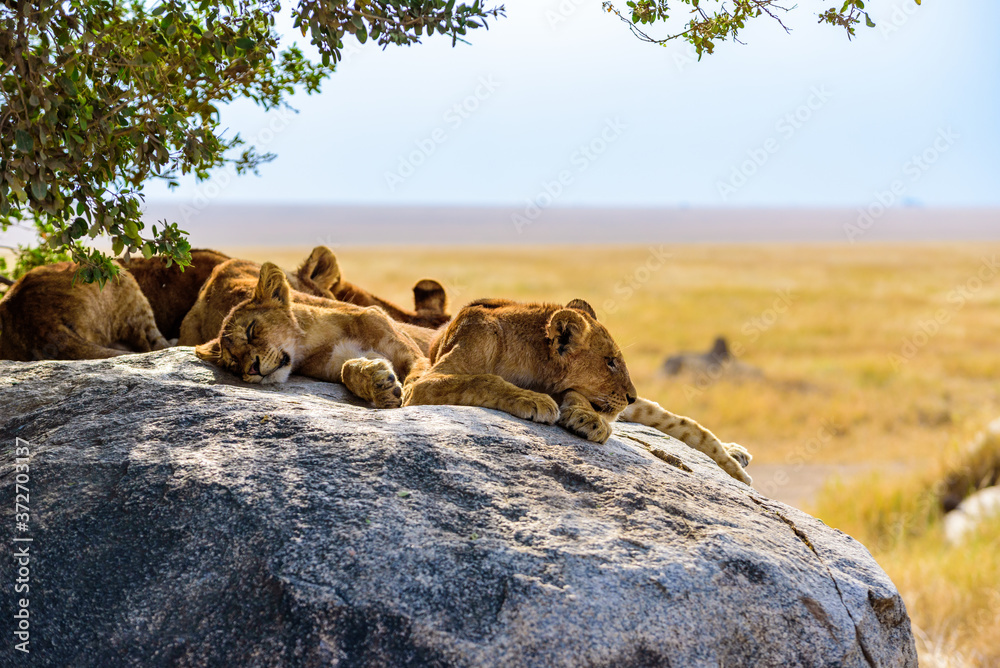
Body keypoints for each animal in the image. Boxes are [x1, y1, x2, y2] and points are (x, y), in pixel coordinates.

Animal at [196, 264, 430, 410]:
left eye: (250, 330)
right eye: (233, 362)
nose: (252, 369)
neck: (322, 341)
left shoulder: (413, 354)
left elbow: (418, 372)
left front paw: (409, 393)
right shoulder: (332, 368)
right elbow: (347, 370)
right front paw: (379, 384)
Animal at [402, 298, 752, 486]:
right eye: (610, 362)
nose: (631, 396)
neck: (528, 365)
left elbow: (578, 396)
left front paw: (587, 420)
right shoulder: (418, 385)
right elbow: (483, 380)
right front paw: (532, 400)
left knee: (688, 426)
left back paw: (735, 461)